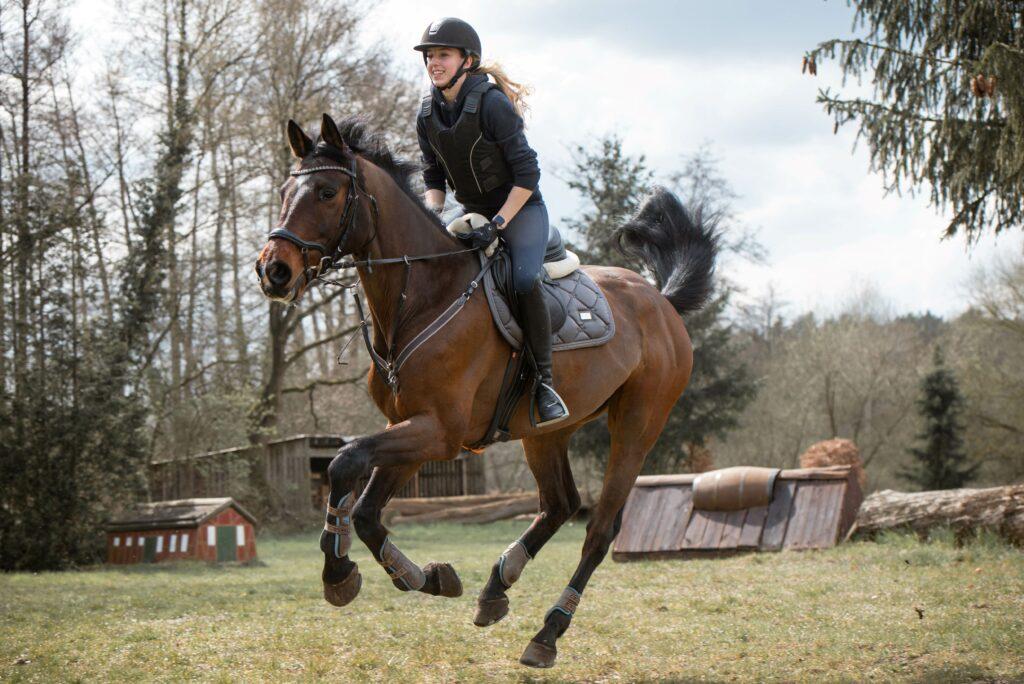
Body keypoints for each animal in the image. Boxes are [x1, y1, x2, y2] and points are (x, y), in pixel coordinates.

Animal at [253, 113, 720, 667]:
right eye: (285, 192)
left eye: (326, 192)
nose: (273, 271)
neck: (422, 297)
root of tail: (662, 302)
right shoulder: (411, 425)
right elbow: (366, 510)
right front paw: (426, 577)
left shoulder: (440, 432)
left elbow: (345, 462)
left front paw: (339, 572)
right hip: (547, 430)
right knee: (559, 503)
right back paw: (497, 586)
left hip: (637, 424)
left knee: (599, 529)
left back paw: (547, 633)